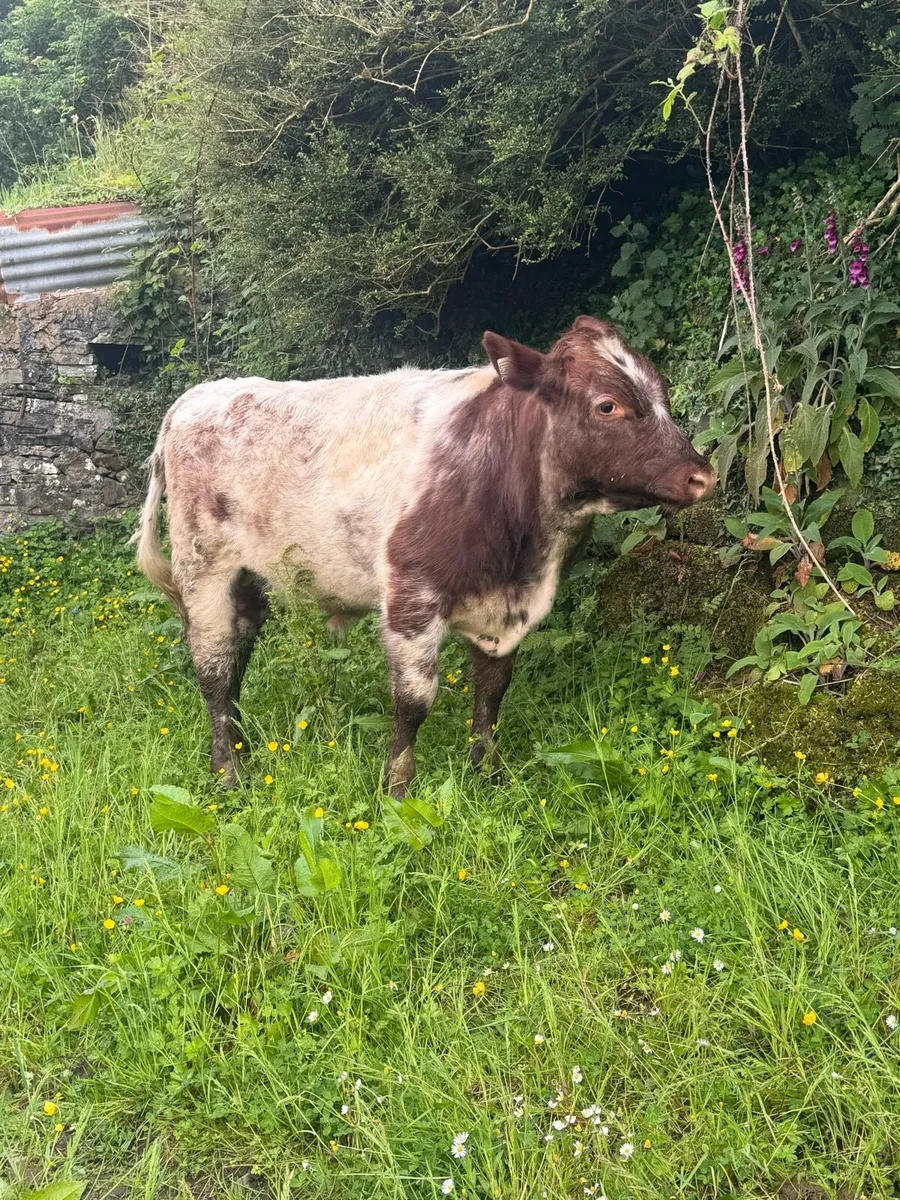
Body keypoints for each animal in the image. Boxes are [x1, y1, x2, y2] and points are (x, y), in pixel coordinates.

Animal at [134, 316, 715, 796]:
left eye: (662, 392)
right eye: (607, 405)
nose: (701, 476)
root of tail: (197, 396)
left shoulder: (506, 607)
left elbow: (492, 692)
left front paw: (488, 772)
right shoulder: (411, 597)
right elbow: (414, 702)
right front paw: (398, 788)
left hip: (249, 580)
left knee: (236, 662)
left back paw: (241, 749)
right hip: (204, 569)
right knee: (213, 671)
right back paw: (228, 774)